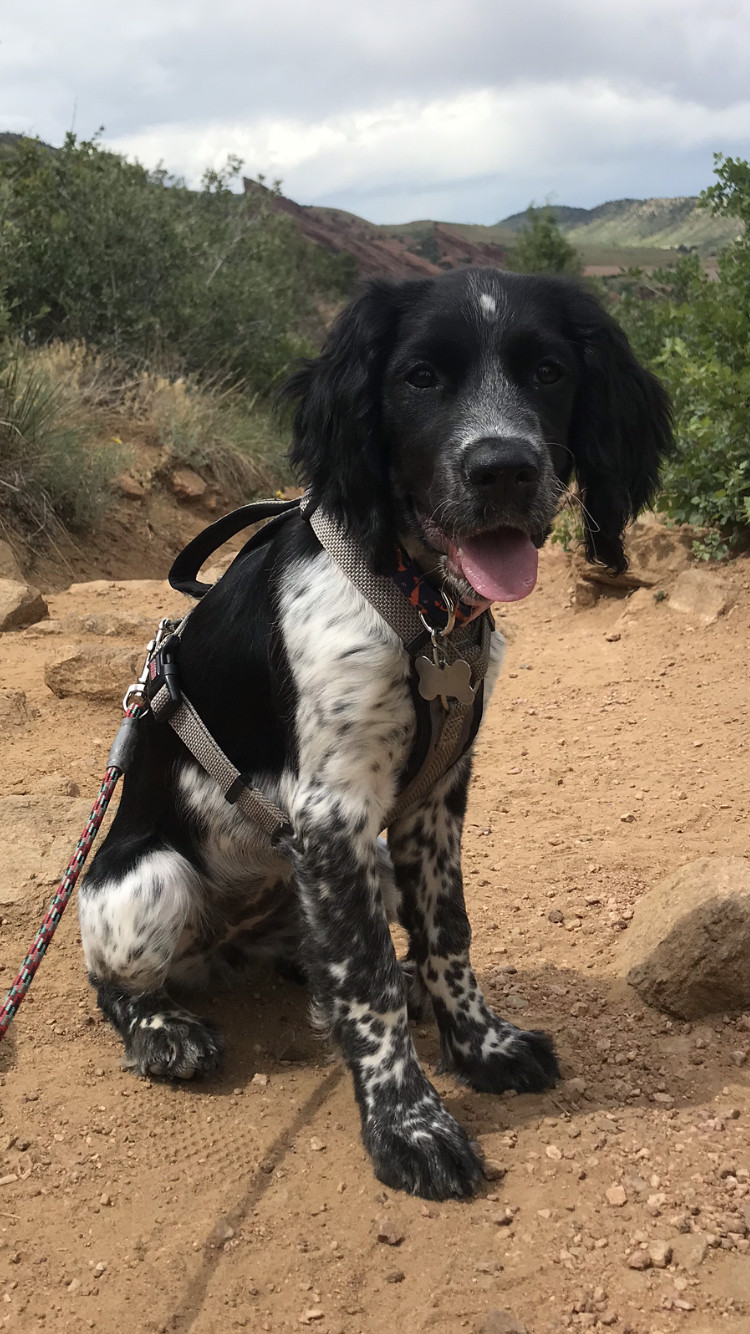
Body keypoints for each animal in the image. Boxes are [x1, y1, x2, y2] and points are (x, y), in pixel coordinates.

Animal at [78, 268, 667, 1200]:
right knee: (115, 979)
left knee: (329, 952)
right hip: (148, 881)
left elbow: (447, 935)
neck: (421, 607)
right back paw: (164, 1029)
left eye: (549, 372)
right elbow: (367, 985)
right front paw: (409, 1124)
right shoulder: (334, 811)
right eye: (420, 378)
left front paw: (480, 1045)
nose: (504, 468)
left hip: (358, 873)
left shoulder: (433, 806)